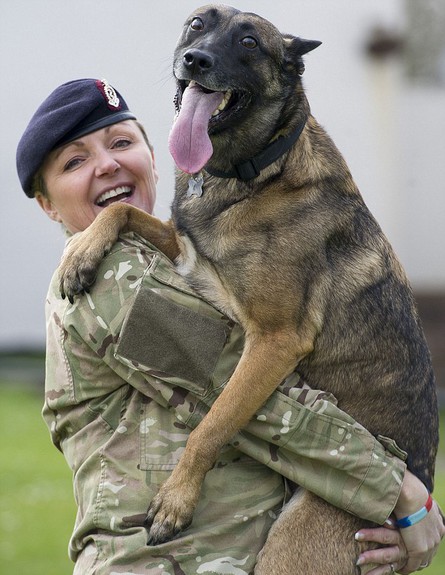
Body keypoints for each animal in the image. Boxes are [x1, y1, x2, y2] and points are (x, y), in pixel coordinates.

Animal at [58, 5, 438, 575]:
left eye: (250, 43)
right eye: (198, 23)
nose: (197, 59)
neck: (253, 171)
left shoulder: (274, 341)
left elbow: (213, 421)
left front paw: (175, 500)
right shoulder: (189, 257)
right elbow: (121, 210)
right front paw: (79, 251)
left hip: (290, 548)